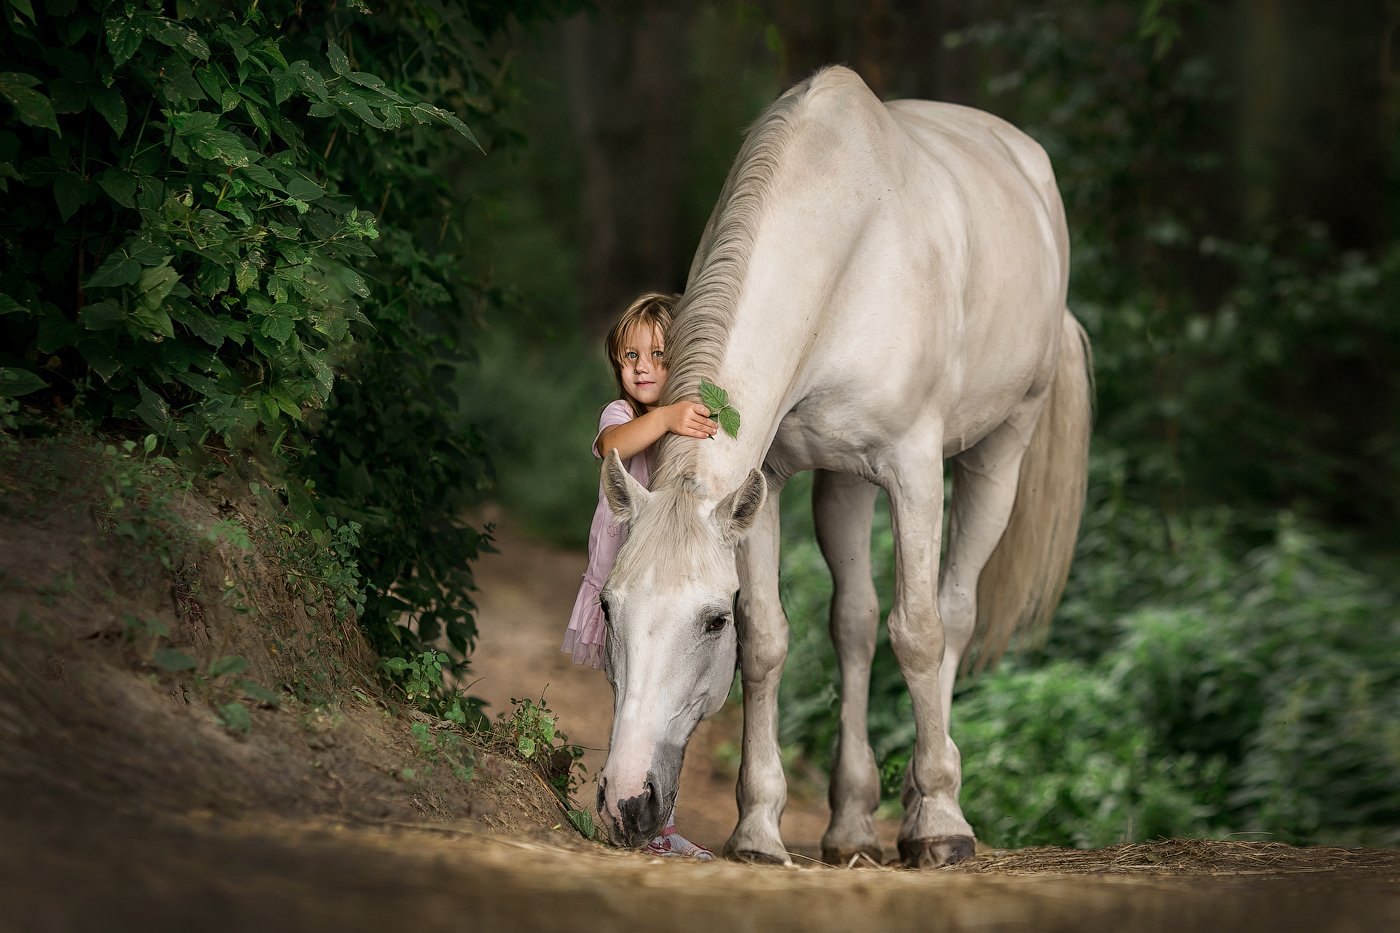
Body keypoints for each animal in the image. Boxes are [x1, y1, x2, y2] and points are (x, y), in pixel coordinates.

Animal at [590, 65, 1092, 862]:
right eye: (609, 607)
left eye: (709, 620)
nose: (627, 802)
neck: (844, 246)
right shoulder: (764, 484)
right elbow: (769, 640)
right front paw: (759, 827)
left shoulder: (914, 469)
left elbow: (919, 631)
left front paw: (940, 821)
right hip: (846, 484)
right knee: (853, 622)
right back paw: (853, 817)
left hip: (999, 453)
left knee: (954, 614)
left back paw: (924, 800)